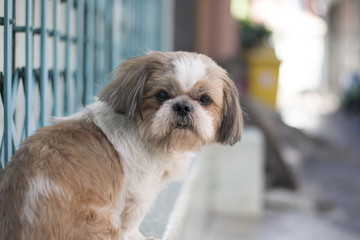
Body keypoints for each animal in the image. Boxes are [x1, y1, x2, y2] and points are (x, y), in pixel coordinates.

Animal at [0, 51, 242, 239]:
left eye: (205, 99)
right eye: (162, 95)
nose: (182, 106)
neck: (150, 136)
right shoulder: (138, 193)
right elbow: (131, 222)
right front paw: (137, 236)